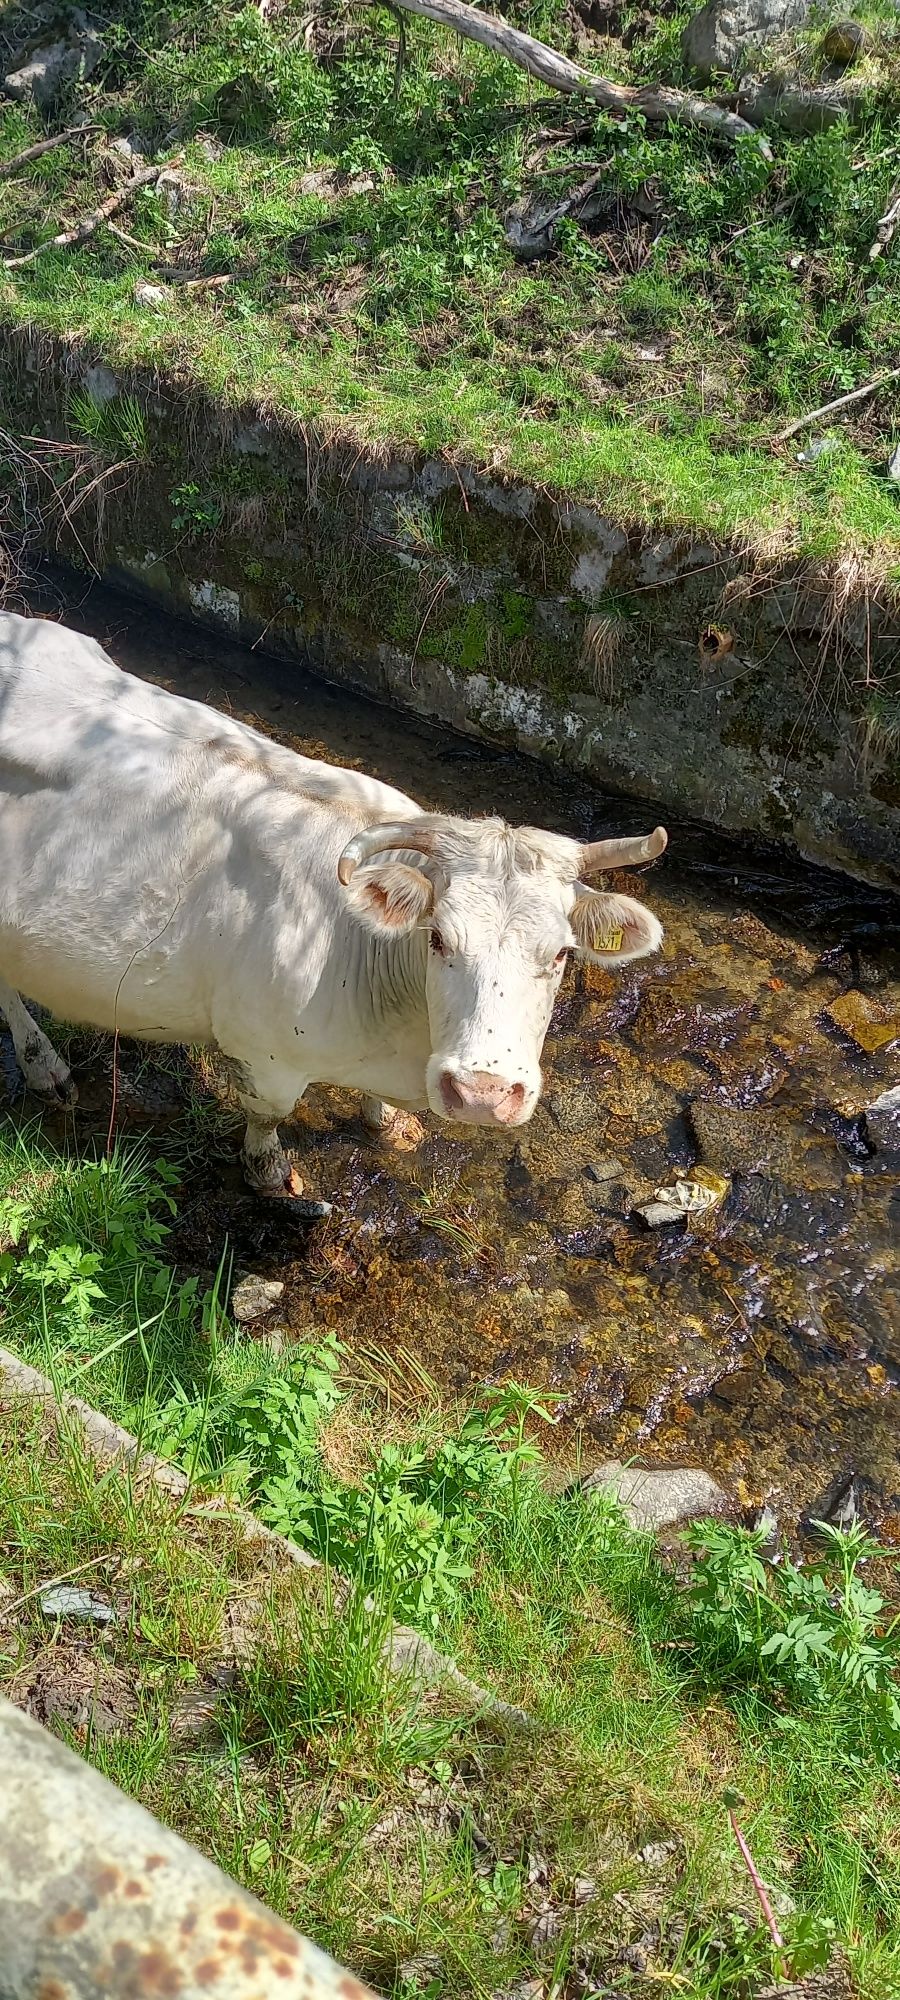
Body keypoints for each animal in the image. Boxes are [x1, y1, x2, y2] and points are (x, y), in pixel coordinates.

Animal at [1, 608, 668, 1200]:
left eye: (561, 954)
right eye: (438, 939)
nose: (483, 1094)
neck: (400, 1033)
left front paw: (391, 1124)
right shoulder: (264, 1052)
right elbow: (268, 1115)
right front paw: (271, 1176)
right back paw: (44, 1067)